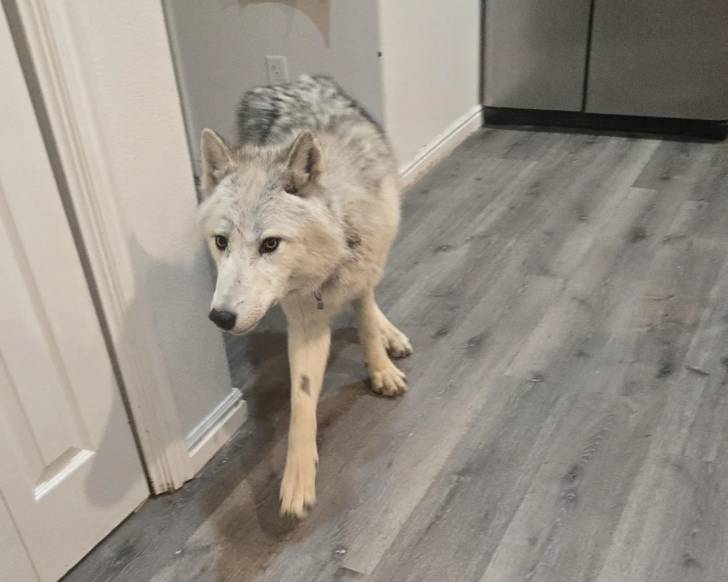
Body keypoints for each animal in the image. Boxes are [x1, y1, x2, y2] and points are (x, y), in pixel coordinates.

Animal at [198, 75, 412, 517]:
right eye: (221, 242)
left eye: (270, 244)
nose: (220, 318)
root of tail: (285, 80)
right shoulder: (304, 323)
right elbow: (301, 400)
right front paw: (297, 477)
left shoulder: (362, 275)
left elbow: (366, 323)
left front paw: (380, 369)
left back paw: (391, 335)